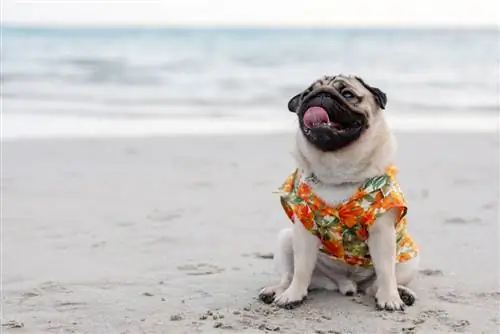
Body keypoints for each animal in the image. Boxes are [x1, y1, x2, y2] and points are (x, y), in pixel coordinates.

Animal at [260, 74, 420, 312]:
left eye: (347, 94)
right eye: (306, 94)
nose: (322, 94)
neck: (337, 168)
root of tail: (347, 282)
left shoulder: (382, 231)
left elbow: (385, 271)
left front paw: (390, 297)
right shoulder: (304, 231)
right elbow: (301, 270)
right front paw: (293, 295)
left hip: (408, 259)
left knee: (376, 284)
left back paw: (402, 293)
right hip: (286, 240)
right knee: (290, 275)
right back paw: (276, 291)